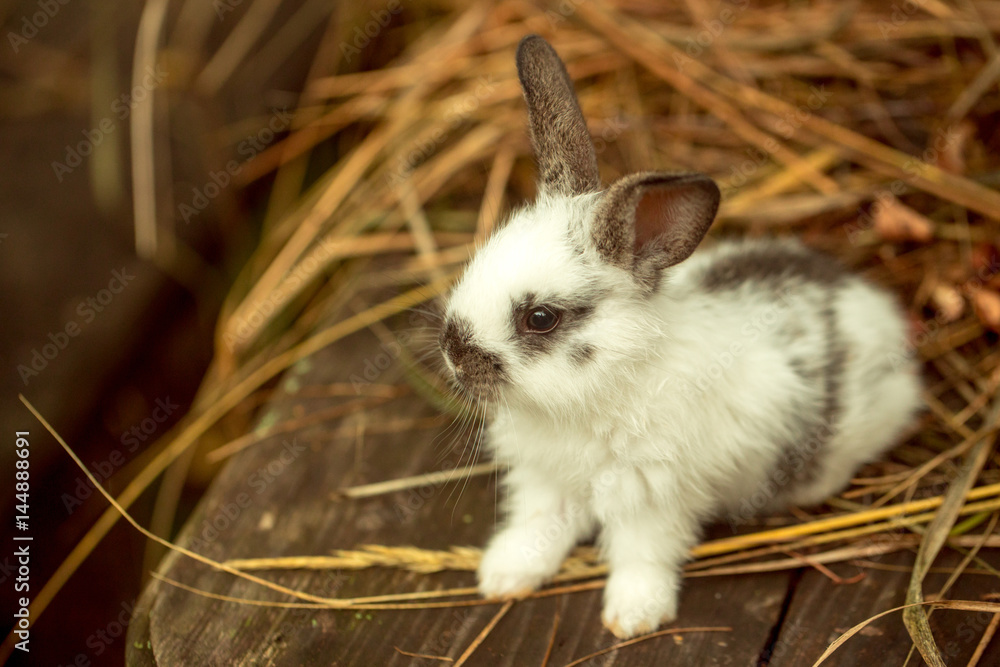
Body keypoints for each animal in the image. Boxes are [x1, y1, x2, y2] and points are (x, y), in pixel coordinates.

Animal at [437, 34, 923, 639]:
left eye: (541, 318)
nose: (453, 352)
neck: (598, 395)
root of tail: (873, 305)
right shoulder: (548, 480)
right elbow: (539, 527)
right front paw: (503, 577)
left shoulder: (652, 497)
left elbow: (642, 556)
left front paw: (633, 617)